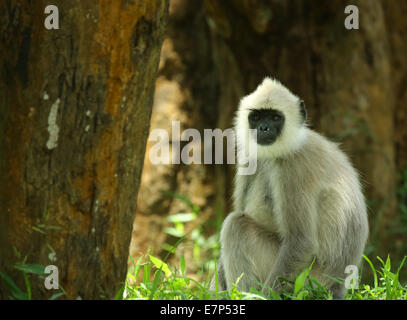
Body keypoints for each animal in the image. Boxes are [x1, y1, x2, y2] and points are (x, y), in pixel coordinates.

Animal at [217, 77, 370, 298]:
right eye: (256, 117)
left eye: (275, 118)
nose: (263, 128)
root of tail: (337, 285)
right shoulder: (250, 158)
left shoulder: (294, 168)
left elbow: (301, 242)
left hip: (308, 282)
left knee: (237, 225)